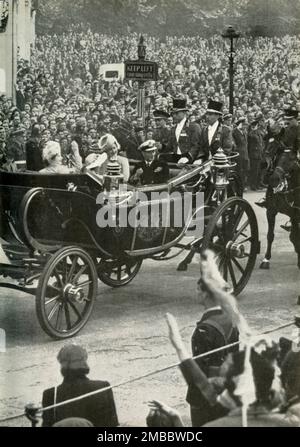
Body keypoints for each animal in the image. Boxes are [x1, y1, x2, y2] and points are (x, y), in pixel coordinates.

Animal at [258, 141, 300, 276]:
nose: (273, 179)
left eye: (291, 160)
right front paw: (266, 260)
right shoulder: (271, 211)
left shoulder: (295, 214)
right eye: (278, 159)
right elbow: (270, 235)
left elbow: (295, 236)